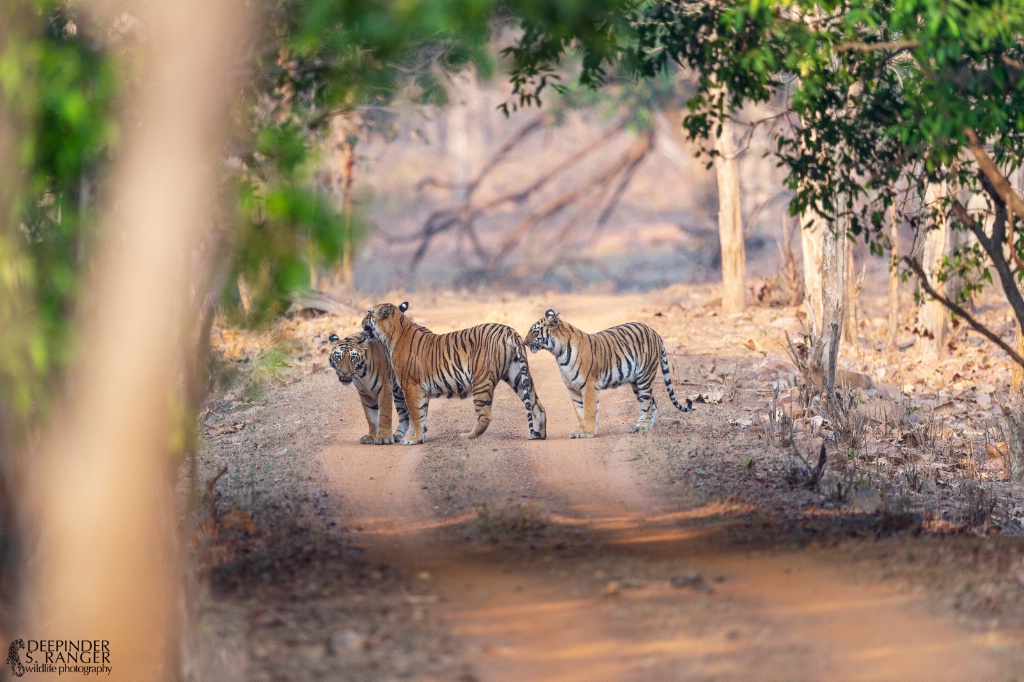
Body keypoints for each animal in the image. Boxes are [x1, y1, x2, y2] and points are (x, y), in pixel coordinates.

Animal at [358, 301, 544, 444]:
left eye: (369, 314)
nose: (360, 322)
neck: (391, 334)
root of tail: (508, 330)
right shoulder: (419, 390)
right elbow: (421, 414)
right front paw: (420, 437)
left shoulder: (411, 386)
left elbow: (415, 415)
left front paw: (414, 439)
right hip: (517, 376)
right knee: (538, 406)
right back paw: (539, 434)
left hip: (481, 380)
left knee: (485, 415)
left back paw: (467, 436)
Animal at [524, 307, 692, 436]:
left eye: (535, 332)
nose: (524, 343)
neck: (558, 352)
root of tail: (655, 332)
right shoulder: (572, 388)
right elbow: (579, 412)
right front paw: (580, 431)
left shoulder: (589, 385)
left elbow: (589, 410)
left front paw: (589, 433)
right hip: (636, 382)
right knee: (653, 403)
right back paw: (647, 427)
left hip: (644, 377)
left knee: (647, 404)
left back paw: (640, 428)